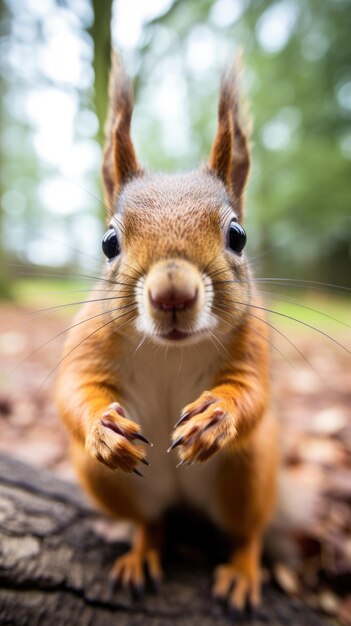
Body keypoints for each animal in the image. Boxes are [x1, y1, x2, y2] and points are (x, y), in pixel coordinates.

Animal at [56, 56, 280, 612]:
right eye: (108, 242)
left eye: (238, 235)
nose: (172, 295)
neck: (168, 351)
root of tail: (185, 504)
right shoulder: (87, 344)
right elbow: (72, 390)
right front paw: (103, 429)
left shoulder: (252, 345)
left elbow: (253, 392)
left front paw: (215, 417)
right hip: (106, 482)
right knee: (150, 519)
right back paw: (142, 550)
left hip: (251, 471)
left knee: (248, 530)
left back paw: (244, 570)